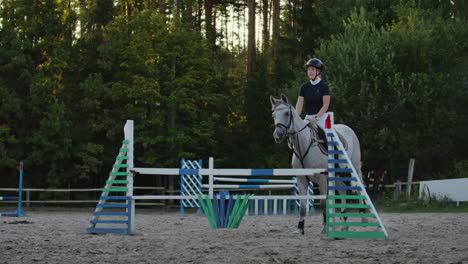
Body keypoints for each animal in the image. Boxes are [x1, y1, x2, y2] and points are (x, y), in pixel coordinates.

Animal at [268, 94, 364, 234]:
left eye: (287, 113)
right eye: (274, 115)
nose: (277, 135)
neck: (304, 145)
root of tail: (349, 129)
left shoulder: (322, 179)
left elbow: (323, 203)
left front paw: (325, 227)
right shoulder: (301, 180)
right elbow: (302, 206)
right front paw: (300, 229)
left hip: (354, 169)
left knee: (359, 188)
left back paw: (363, 219)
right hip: (337, 175)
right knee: (342, 191)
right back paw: (344, 224)